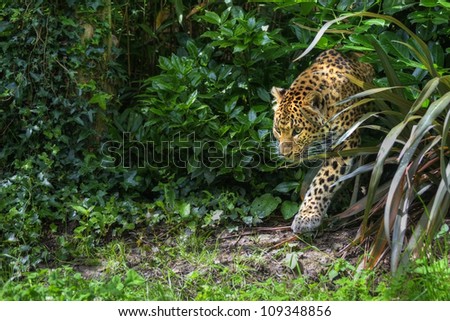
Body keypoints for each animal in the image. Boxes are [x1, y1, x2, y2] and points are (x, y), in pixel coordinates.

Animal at [272, 48, 374, 232]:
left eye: (297, 131)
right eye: (278, 129)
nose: (284, 154)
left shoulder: (345, 142)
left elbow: (323, 180)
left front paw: (307, 216)